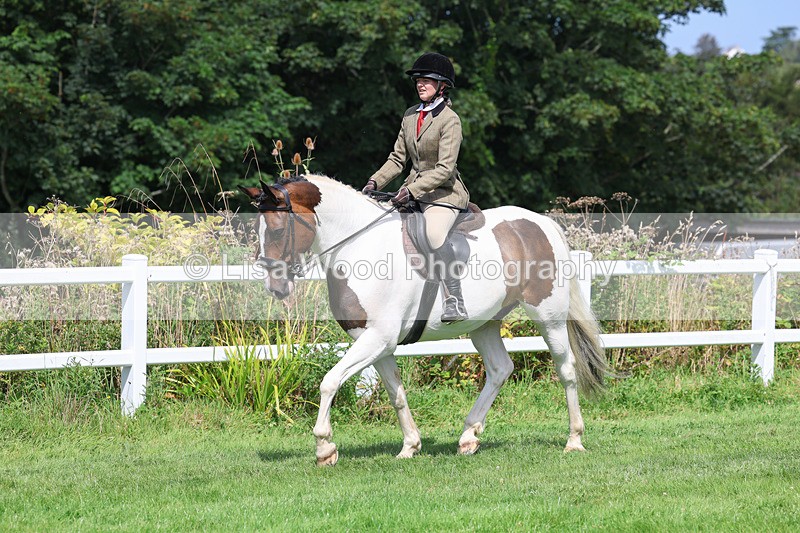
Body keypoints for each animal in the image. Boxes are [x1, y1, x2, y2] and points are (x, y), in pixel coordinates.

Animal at [239, 173, 607, 466]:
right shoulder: (375, 343)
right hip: (484, 325)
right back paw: (469, 436)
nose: (275, 287)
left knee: (566, 370)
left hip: (550, 318)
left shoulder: (378, 338)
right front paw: (410, 446)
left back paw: (574, 440)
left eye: (277, 230)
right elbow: (396, 394)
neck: (360, 245)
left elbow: (329, 381)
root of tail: (540, 223)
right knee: (500, 369)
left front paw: (324, 448)